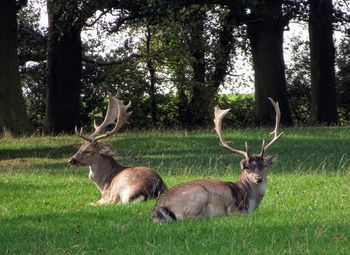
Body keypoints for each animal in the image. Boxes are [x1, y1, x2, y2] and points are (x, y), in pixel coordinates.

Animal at [152, 96, 284, 222]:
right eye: (247, 167)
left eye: (265, 165)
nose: (259, 178)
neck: (249, 203)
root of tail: (158, 207)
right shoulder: (234, 209)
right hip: (198, 195)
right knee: (189, 219)